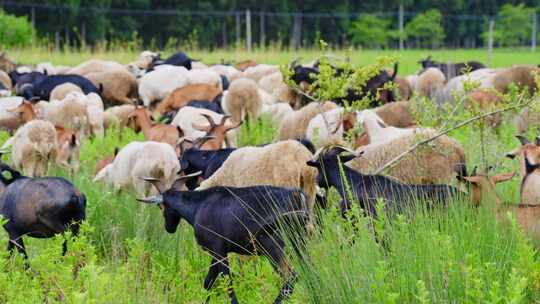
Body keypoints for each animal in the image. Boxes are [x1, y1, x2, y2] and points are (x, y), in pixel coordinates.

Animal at [138, 173, 308, 304]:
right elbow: (208, 282)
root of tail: (297, 194)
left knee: (291, 276)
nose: (169, 227)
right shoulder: (216, 253)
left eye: (161, 206)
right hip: (299, 240)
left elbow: (228, 284)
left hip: (272, 245)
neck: (197, 208)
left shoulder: (219, 251)